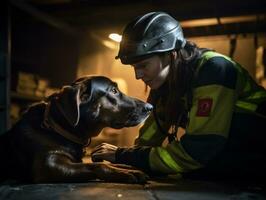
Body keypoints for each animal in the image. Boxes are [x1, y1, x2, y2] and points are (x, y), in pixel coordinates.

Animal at [0, 76, 153, 184]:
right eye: (114, 91)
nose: (150, 107)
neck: (58, 128)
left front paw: (128, 167)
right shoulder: (48, 165)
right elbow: (98, 165)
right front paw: (126, 173)